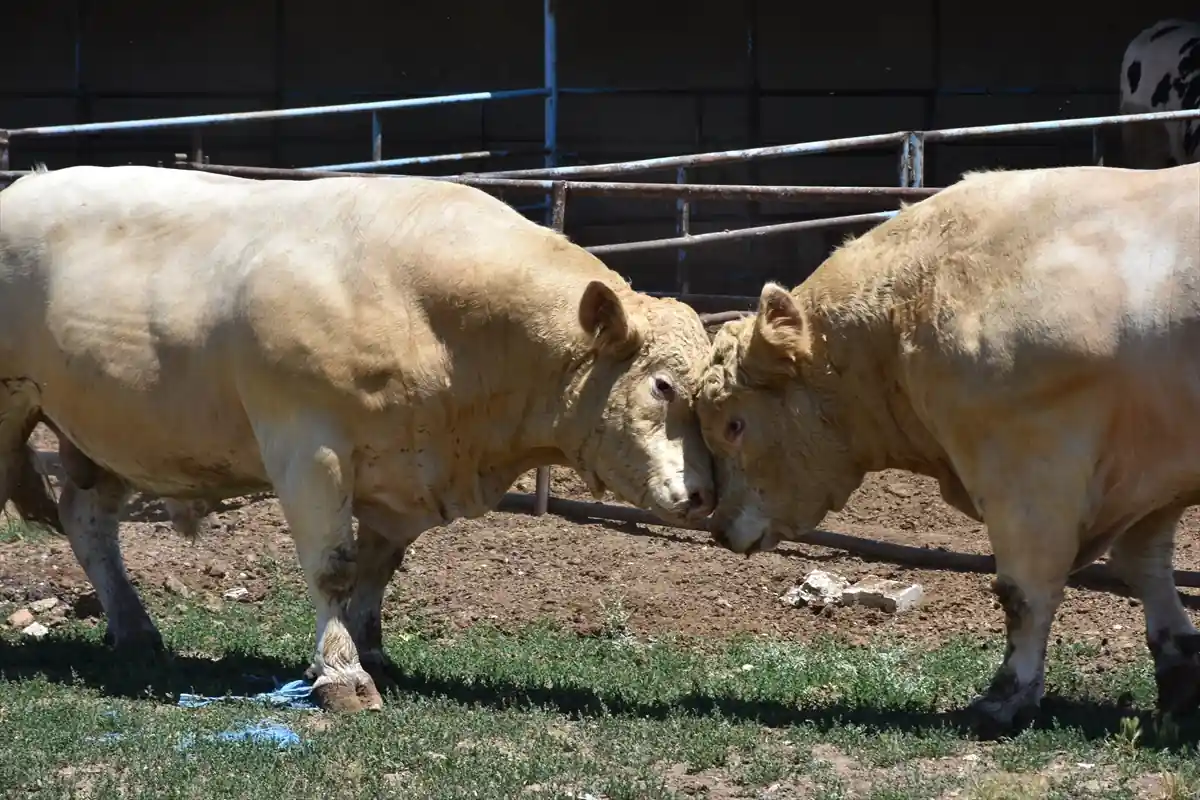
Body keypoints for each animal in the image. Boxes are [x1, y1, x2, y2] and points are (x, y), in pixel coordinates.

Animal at [0, 165, 710, 714]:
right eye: (663, 386)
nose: (704, 495)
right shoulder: (307, 446)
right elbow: (334, 566)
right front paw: (343, 674)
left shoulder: (403, 473)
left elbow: (376, 567)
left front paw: (371, 650)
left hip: (104, 428)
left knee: (88, 520)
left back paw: (134, 628)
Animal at [696, 163, 1200, 738]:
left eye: (734, 424)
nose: (718, 527)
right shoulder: (1149, 473)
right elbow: (1144, 566)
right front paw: (1179, 676)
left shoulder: (1029, 470)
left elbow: (1025, 589)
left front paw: (1005, 698)